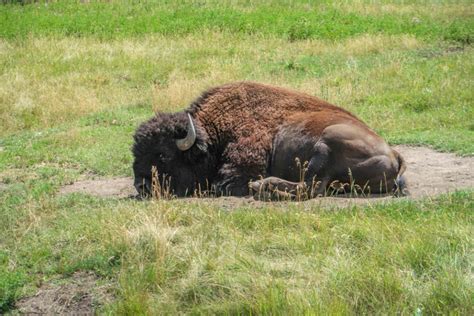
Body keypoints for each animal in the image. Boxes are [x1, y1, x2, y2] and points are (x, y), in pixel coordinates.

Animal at [133, 82, 408, 200]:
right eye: (136, 153)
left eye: (163, 154)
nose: (141, 186)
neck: (214, 130)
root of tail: (394, 155)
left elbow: (224, 185)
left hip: (327, 142)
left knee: (311, 187)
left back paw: (261, 186)